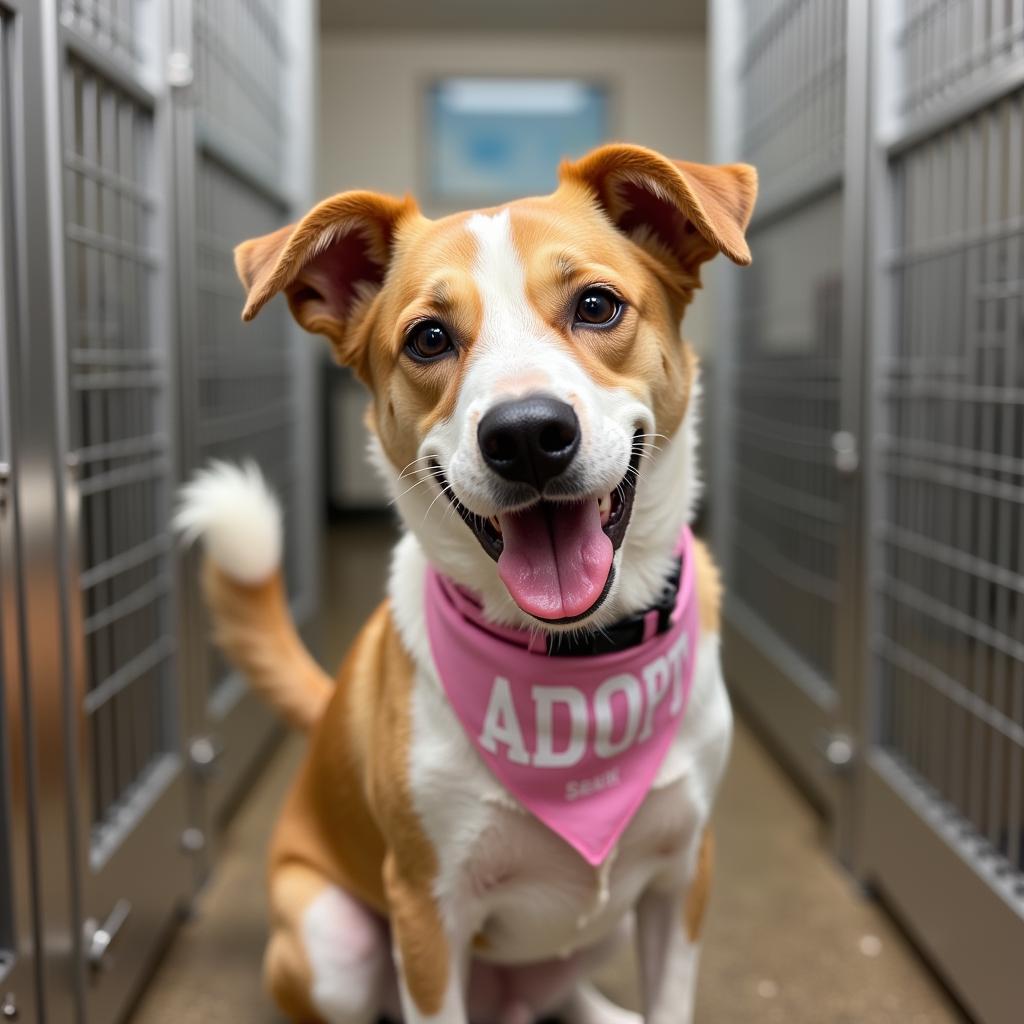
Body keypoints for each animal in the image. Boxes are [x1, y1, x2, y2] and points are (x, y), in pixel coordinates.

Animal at [174, 144, 753, 1024]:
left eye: (596, 305)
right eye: (429, 339)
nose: (528, 435)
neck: (572, 662)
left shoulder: (682, 874)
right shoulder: (426, 911)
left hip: (607, 923)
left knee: (556, 991)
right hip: (334, 943)